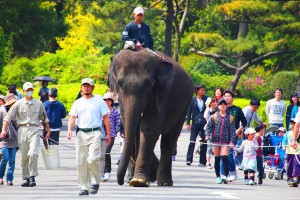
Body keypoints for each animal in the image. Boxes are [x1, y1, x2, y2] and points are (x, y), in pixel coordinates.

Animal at [109, 48, 193, 188]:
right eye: (119, 84)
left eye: (149, 85)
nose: (120, 182)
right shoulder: (121, 98)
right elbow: (130, 126)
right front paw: (140, 178)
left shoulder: (162, 93)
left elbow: (149, 127)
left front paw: (138, 181)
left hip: (185, 104)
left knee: (169, 140)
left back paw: (164, 182)